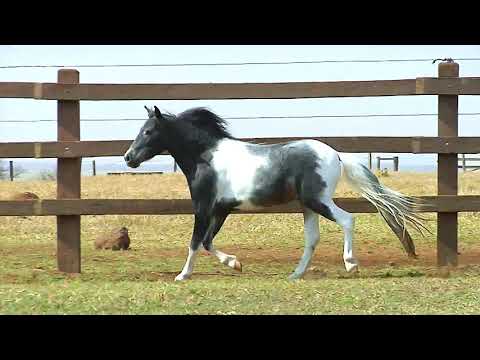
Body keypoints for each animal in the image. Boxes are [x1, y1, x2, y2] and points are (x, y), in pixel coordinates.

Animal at [124, 105, 428, 280]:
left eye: (148, 131)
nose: (128, 158)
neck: (205, 158)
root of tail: (337, 155)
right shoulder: (221, 209)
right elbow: (208, 242)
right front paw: (236, 264)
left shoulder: (203, 207)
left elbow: (195, 242)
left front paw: (182, 275)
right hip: (308, 207)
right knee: (312, 239)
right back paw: (295, 274)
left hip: (317, 200)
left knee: (347, 219)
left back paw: (351, 264)